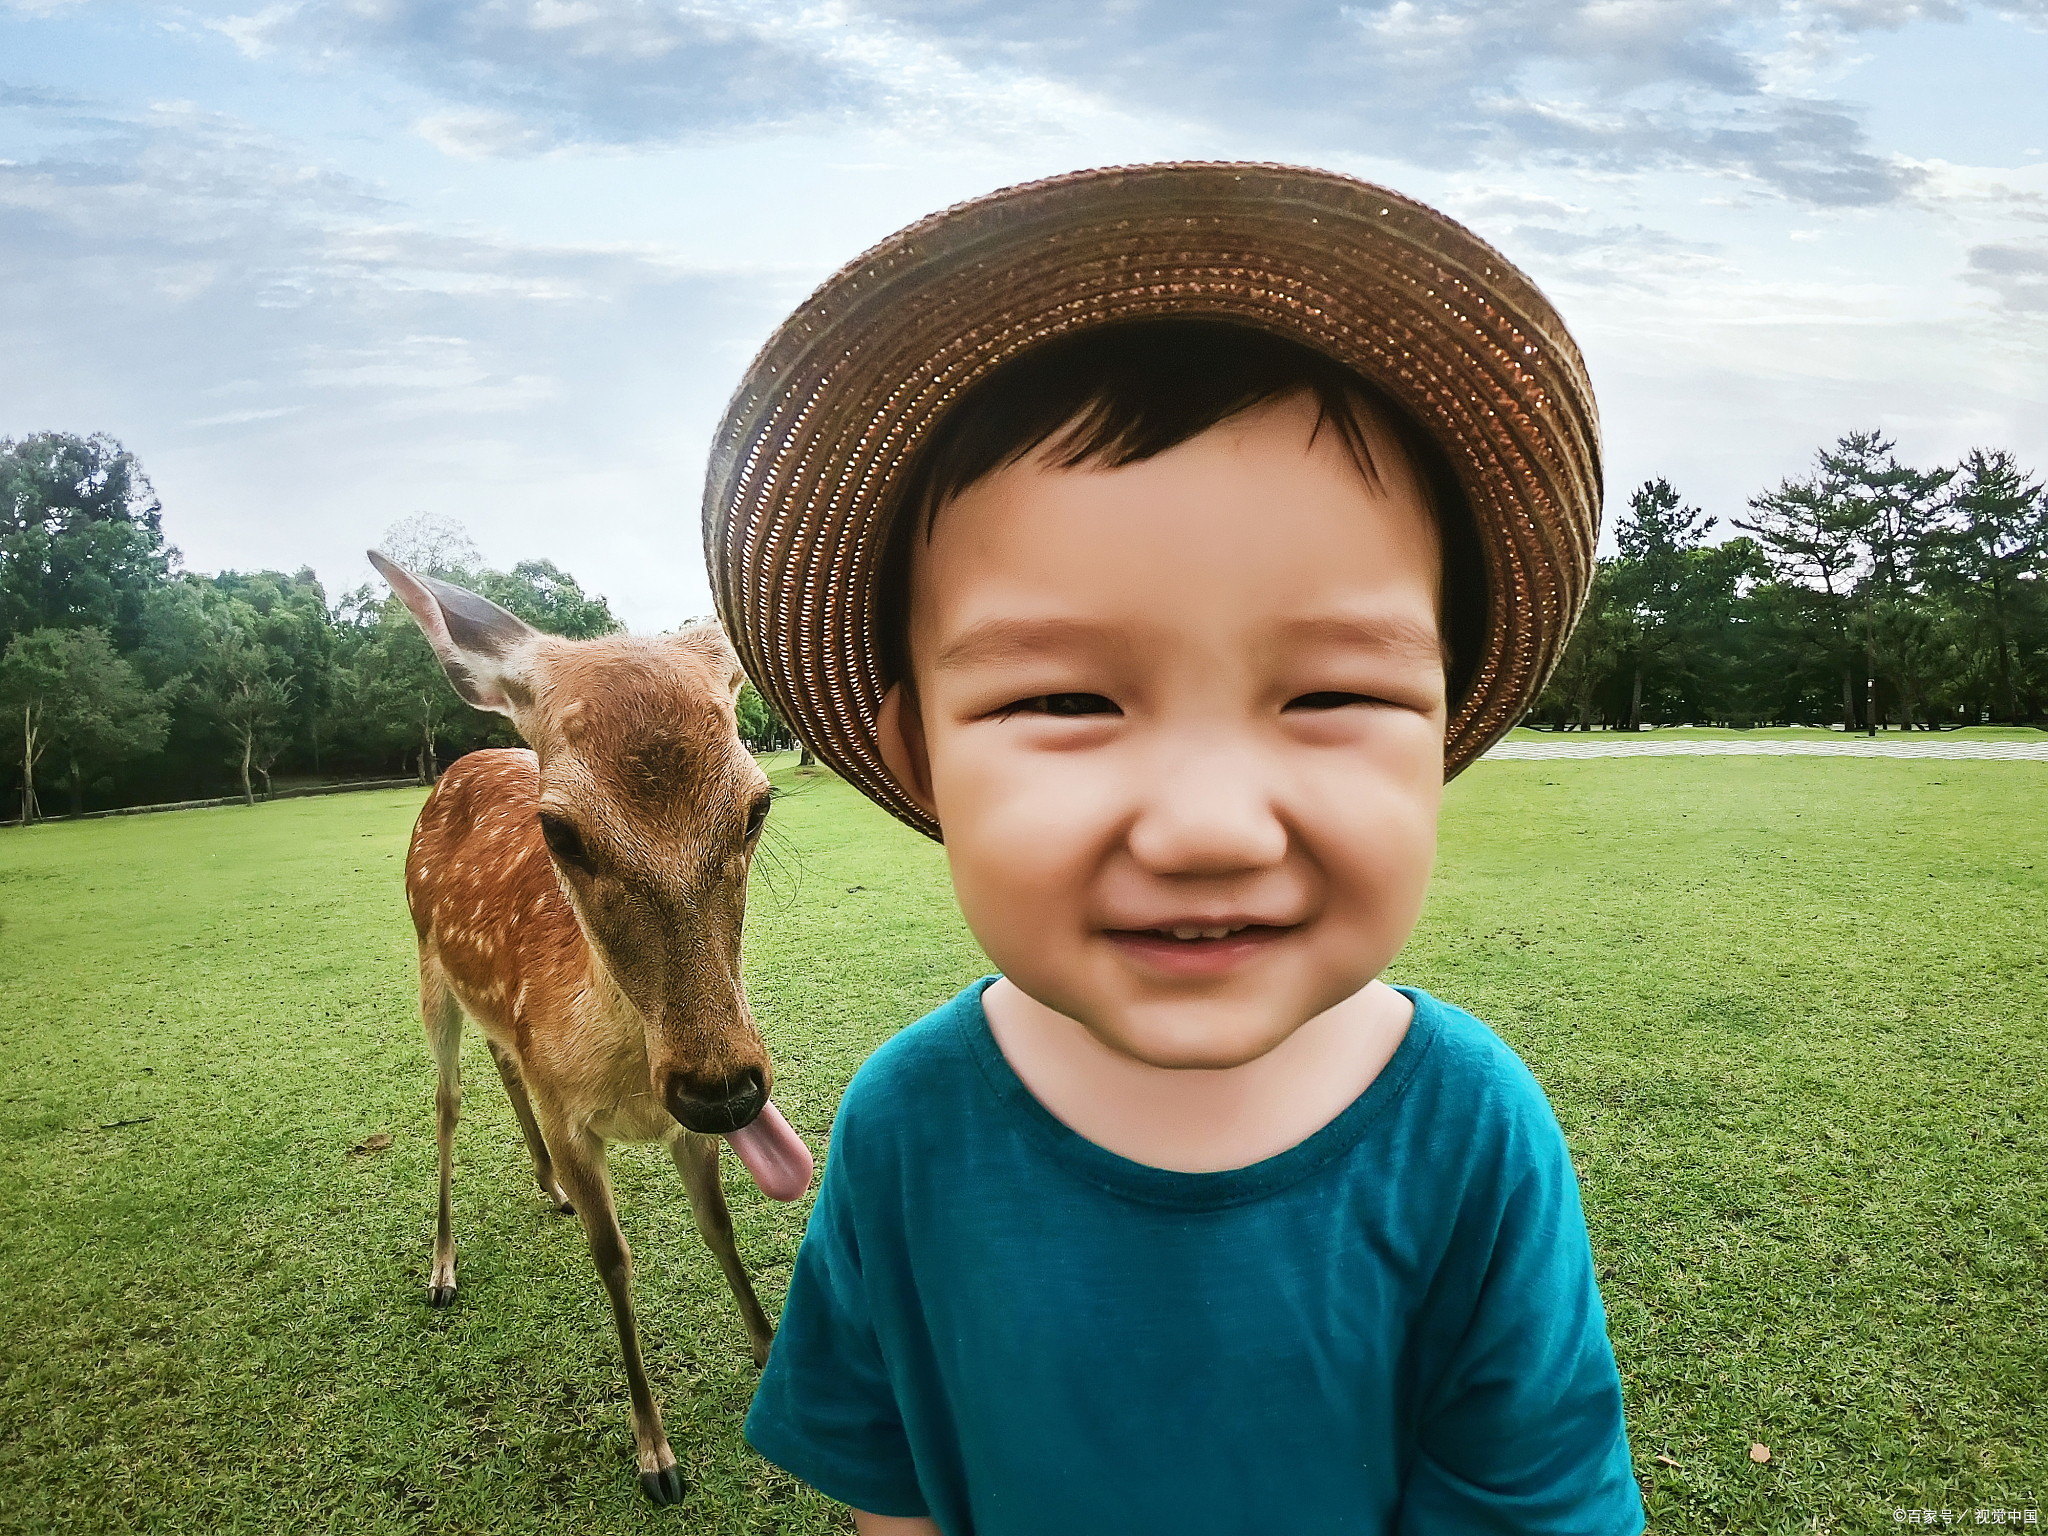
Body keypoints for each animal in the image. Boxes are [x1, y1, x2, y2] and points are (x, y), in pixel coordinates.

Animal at [372, 548, 811, 1507]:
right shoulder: (576, 1115)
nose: (724, 1088)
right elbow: (613, 1261)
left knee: (502, 1063)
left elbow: (720, 1227)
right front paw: (656, 1456)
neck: (622, 1082)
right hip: (427, 966)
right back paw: (443, 1268)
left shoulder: (681, 1126)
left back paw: (547, 1188)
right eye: (559, 830)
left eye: (758, 806)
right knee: (447, 1100)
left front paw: (770, 1355)